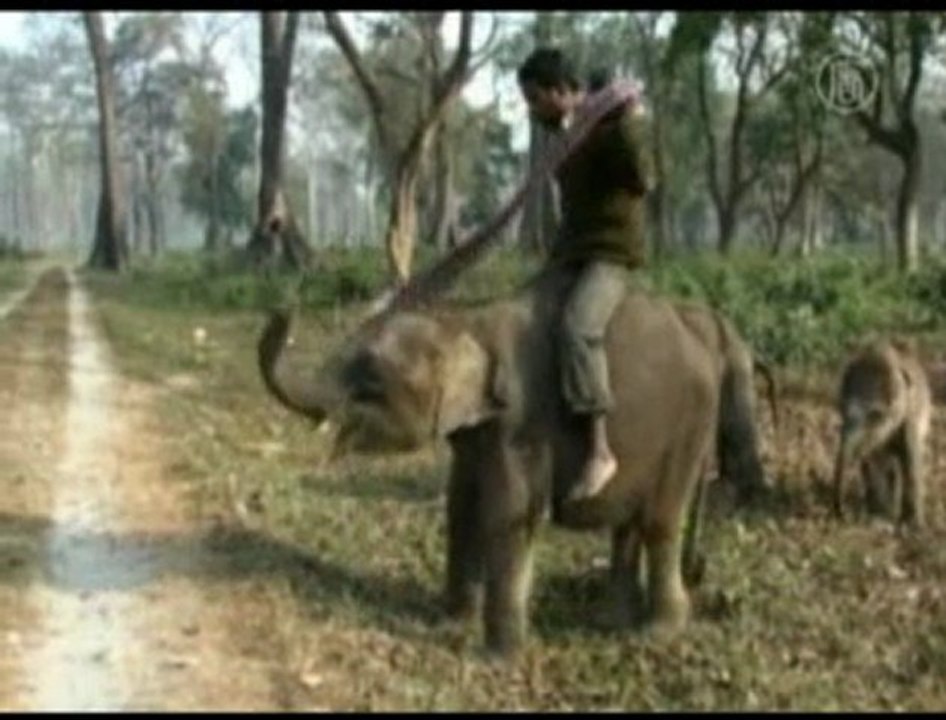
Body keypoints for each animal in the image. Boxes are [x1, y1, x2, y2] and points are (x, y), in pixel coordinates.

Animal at [258, 268, 721, 656]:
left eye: (371, 377)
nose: (286, 302)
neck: (465, 320)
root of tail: (701, 337)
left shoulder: (523, 422)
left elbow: (508, 512)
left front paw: (499, 657)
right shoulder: (474, 433)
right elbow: (462, 505)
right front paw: (450, 625)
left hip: (689, 424)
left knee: (659, 522)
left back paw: (658, 632)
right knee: (627, 525)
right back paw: (612, 621)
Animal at [831, 338, 931, 527]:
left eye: (876, 415)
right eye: (842, 408)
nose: (844, 514)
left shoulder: (910, 417)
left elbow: (912, 460)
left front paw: (914, 525)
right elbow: (872, 460)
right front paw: (877, 513)